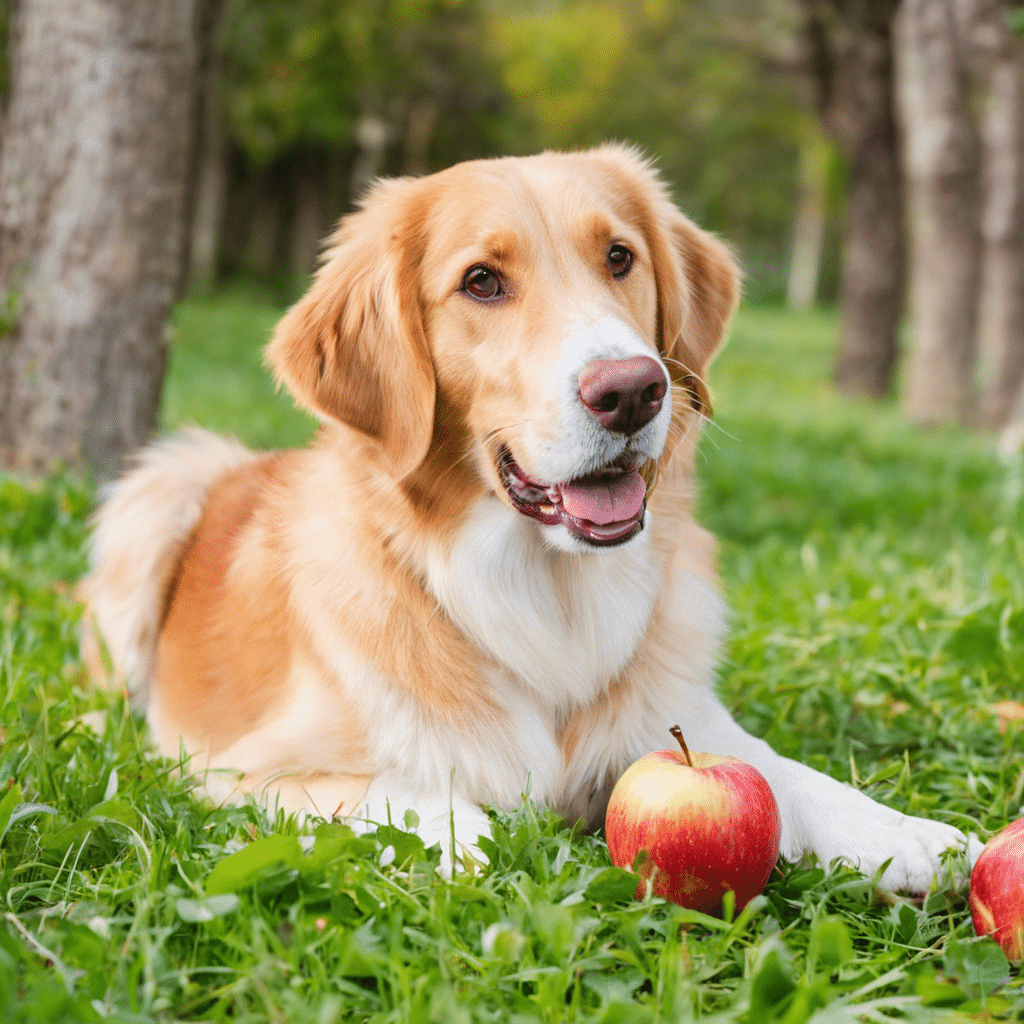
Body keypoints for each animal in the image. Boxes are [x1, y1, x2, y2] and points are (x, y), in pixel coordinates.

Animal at [79, 144, 974, 888]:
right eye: (482, 281)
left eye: (619, 257)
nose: (632, 390)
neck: (545, 590)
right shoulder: (242, 769)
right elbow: (401, 789)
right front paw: (457, 838)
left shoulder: (677, 715)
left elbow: (782, 769)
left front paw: (901, 831)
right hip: (161, 485)